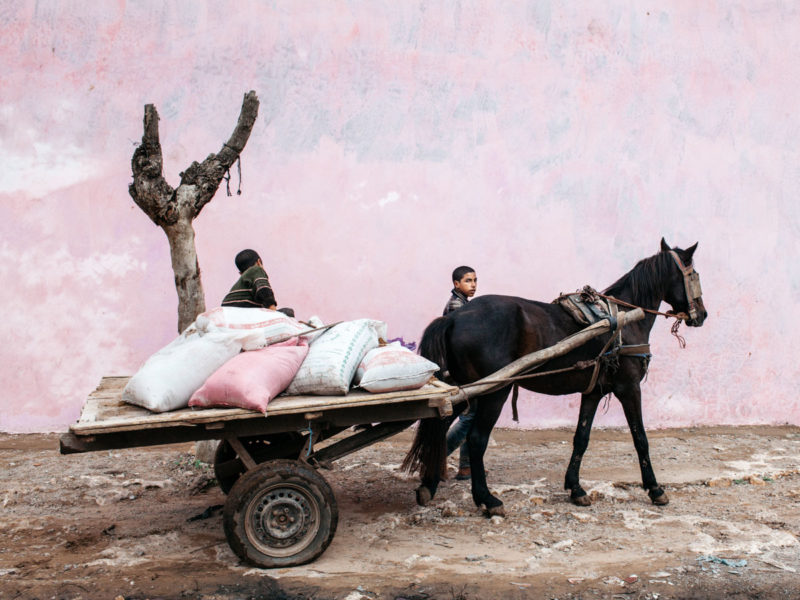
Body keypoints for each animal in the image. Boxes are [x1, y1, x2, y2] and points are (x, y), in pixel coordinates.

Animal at [406, 239, 708, 516]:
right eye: (694, 274)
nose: (702, 315)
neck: (623, 318)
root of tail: (454, 318)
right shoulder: (629, 388)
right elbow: (640, 438)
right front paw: (655, 489)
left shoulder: (593, 391)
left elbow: (581, 437)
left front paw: (576, 488)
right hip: (494, 391)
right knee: (476, 439)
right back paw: (487, 499)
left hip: (460, 390)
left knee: (439, 427)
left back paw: (428, 486)